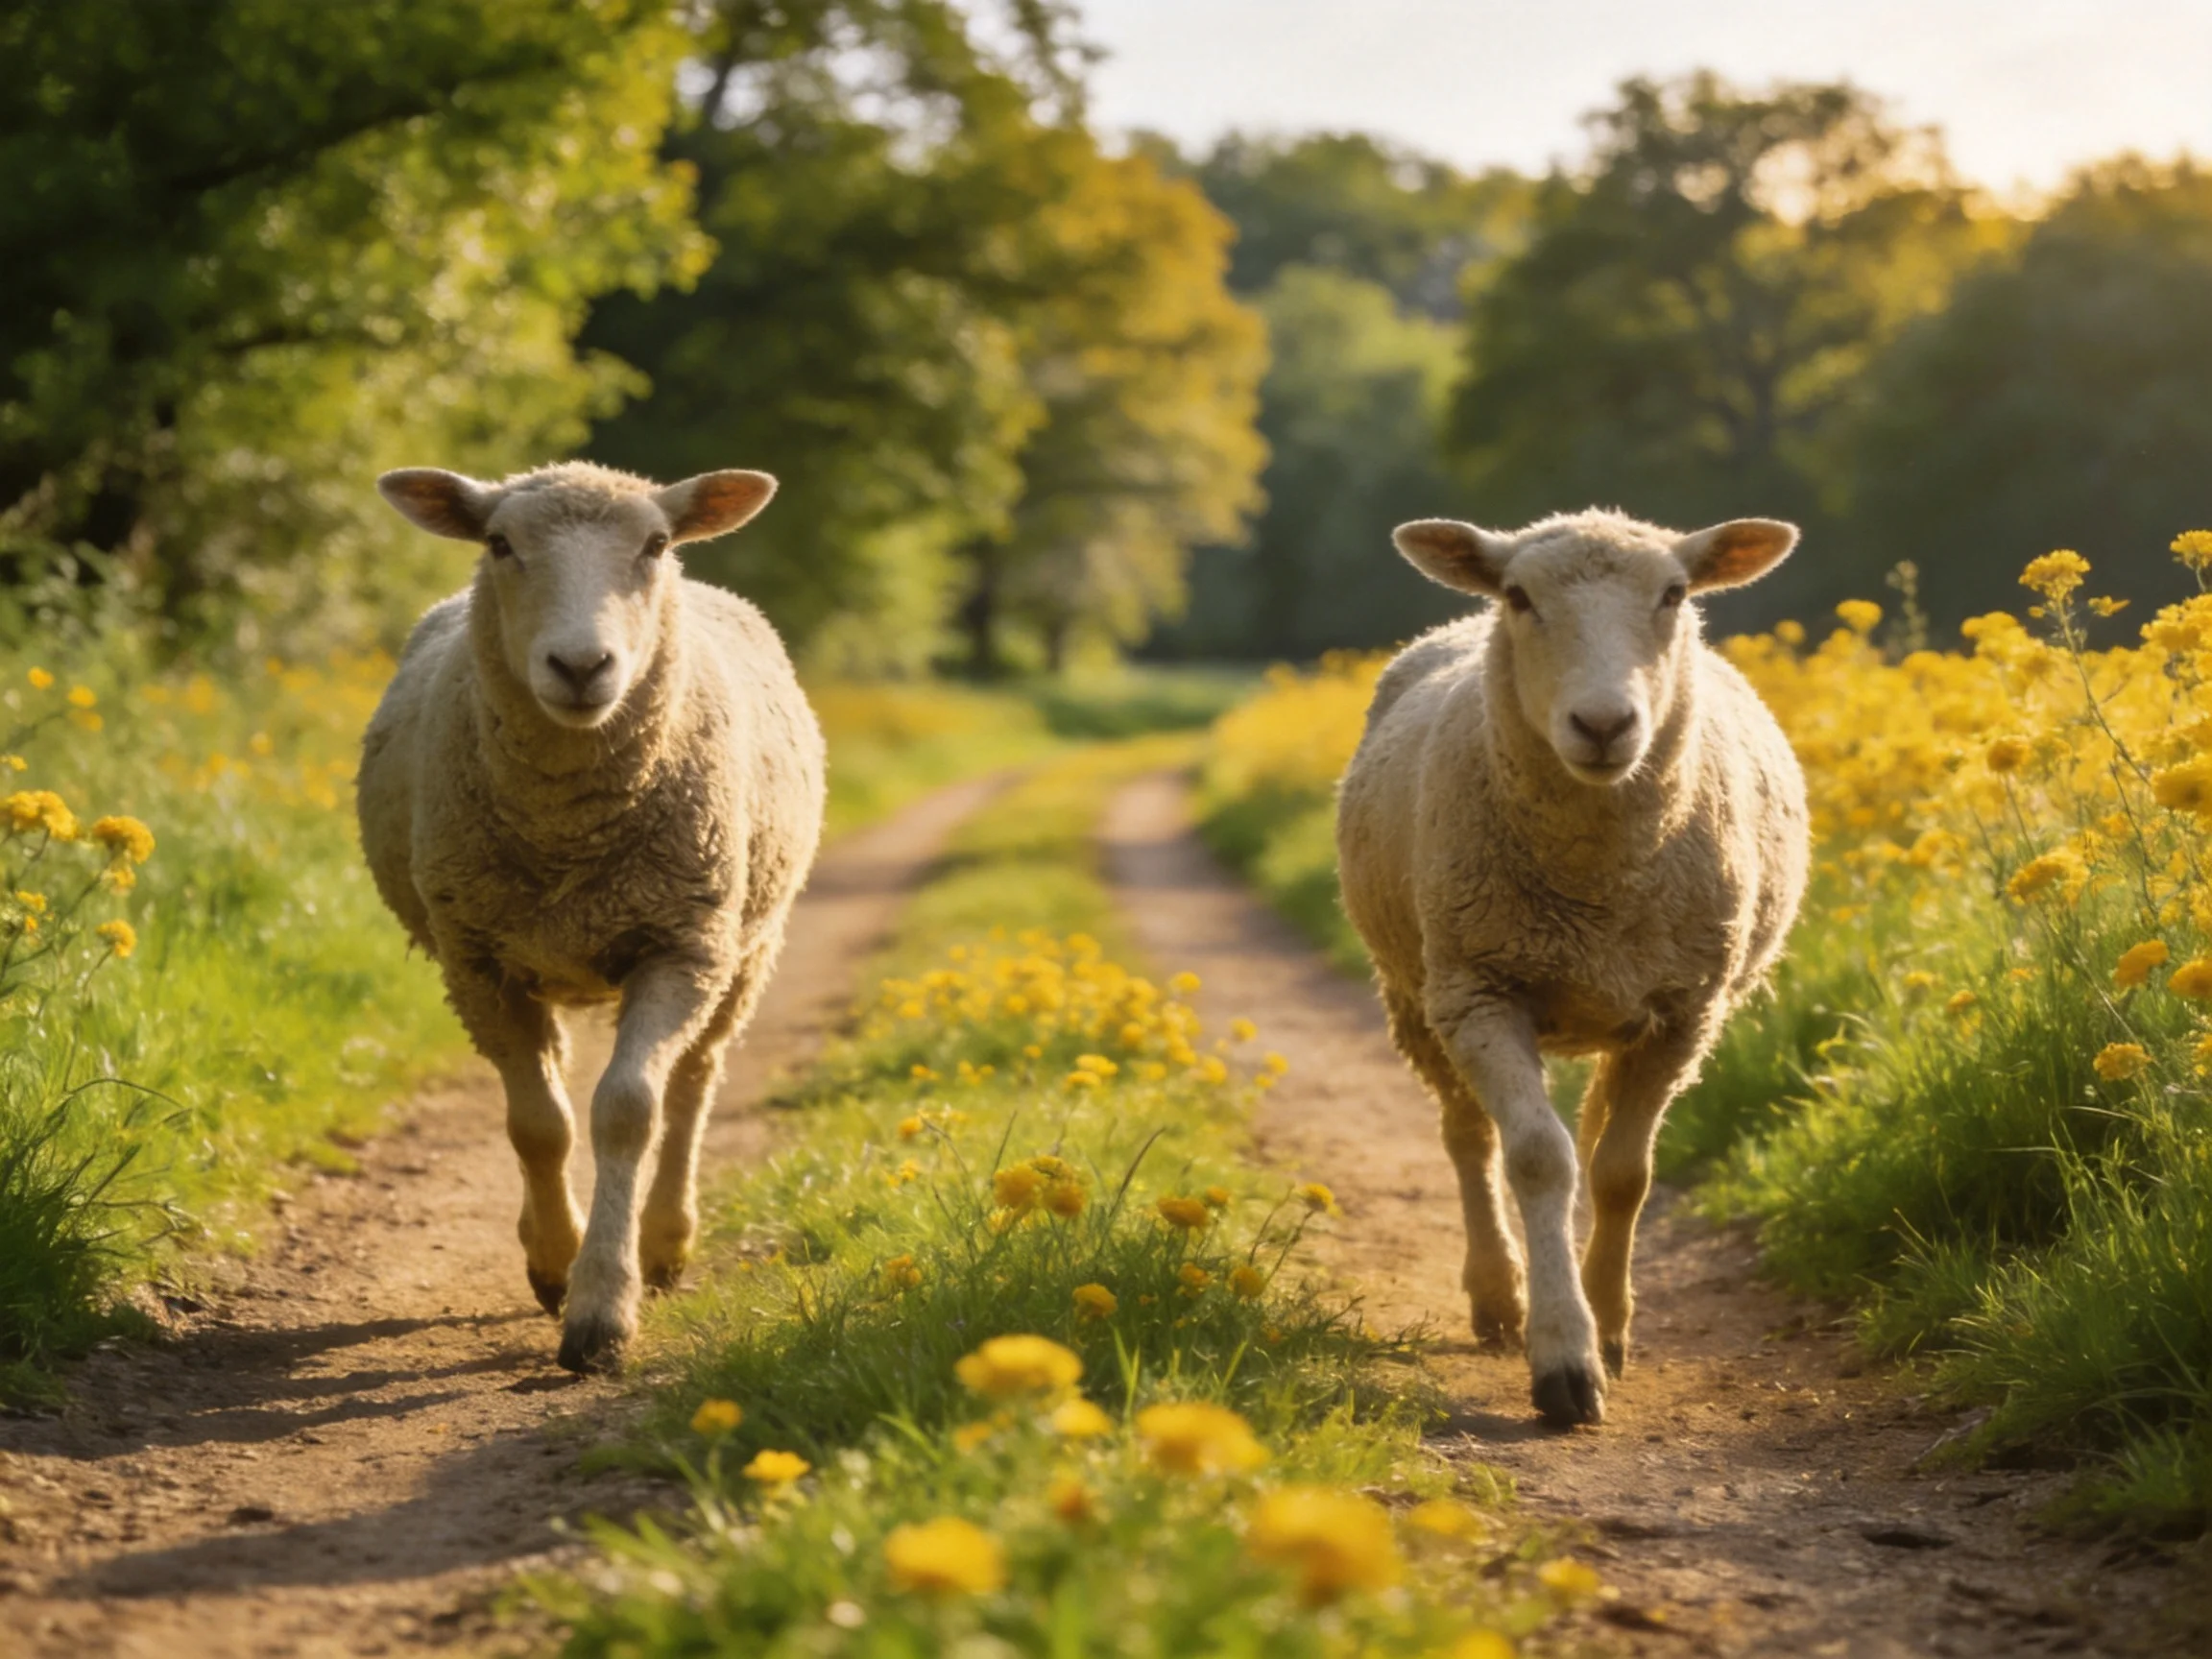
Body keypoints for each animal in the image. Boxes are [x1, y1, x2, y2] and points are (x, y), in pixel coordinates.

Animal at [358, 460, 826, 1374]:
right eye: (500, 543)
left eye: (656, 545)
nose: (581, 665)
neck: (569, 832)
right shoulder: (476, 962)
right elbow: (539, 1125)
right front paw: (553, 1264)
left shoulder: (680, 945)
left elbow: (627, 1111)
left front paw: (604, 1306)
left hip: (744, 949)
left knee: (692, 1087)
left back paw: (667, 1240)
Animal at [1335, 509, 1809, 1427]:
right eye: (1519, 596)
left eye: (1675, 594)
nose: (1602, 725)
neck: (1598, 883)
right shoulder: (1483, 991)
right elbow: (1537, 1159)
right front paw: (1562, 1355)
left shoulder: (1686, 1011)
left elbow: (1624, 1174)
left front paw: (1611, 1328)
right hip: (1420, 992)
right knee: (1469, 1139)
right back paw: (1496, 1295)